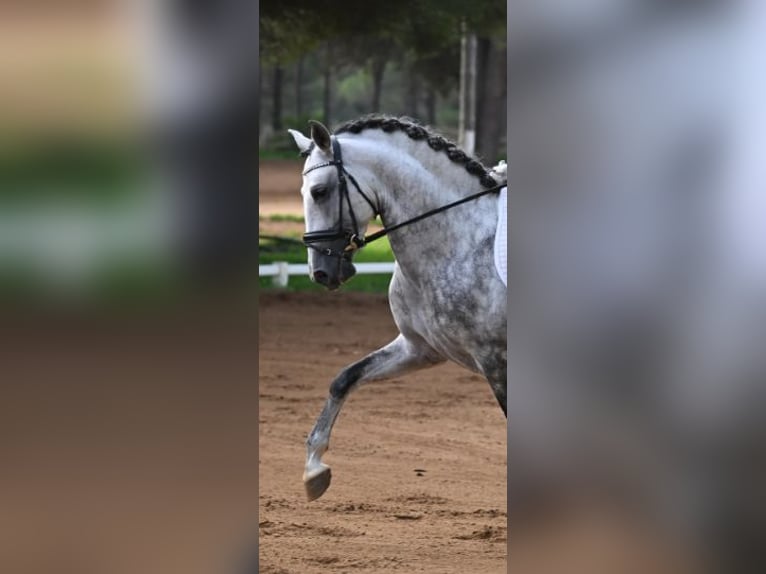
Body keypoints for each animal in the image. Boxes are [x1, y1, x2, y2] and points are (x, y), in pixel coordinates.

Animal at [288, 115, 507, 501]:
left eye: (319, 192)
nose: (320, 273)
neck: (458, 243)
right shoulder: (420, 348)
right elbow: (345, 378)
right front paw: (314, 468)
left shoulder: (495, 359)